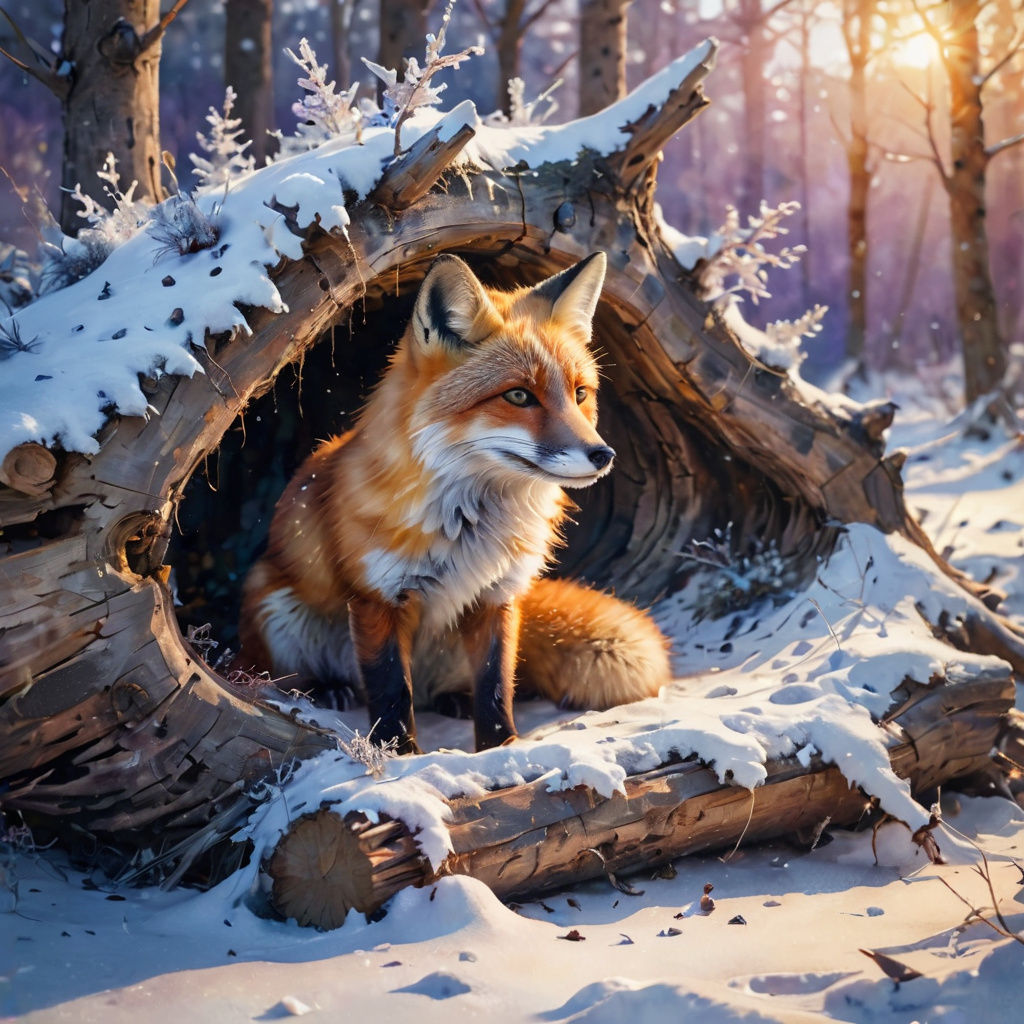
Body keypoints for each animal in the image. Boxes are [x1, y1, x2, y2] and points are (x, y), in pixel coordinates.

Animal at [238, 252, 671, 754]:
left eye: (580, 394)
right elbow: (390, 691)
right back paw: (324, 690)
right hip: (276, 609)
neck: (470, 525)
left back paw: (452, 698)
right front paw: (399, 756)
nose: (603, 455)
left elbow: (496, 686)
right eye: (519, 395)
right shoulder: (377, 599)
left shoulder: (498, 596)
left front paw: (502, 750)